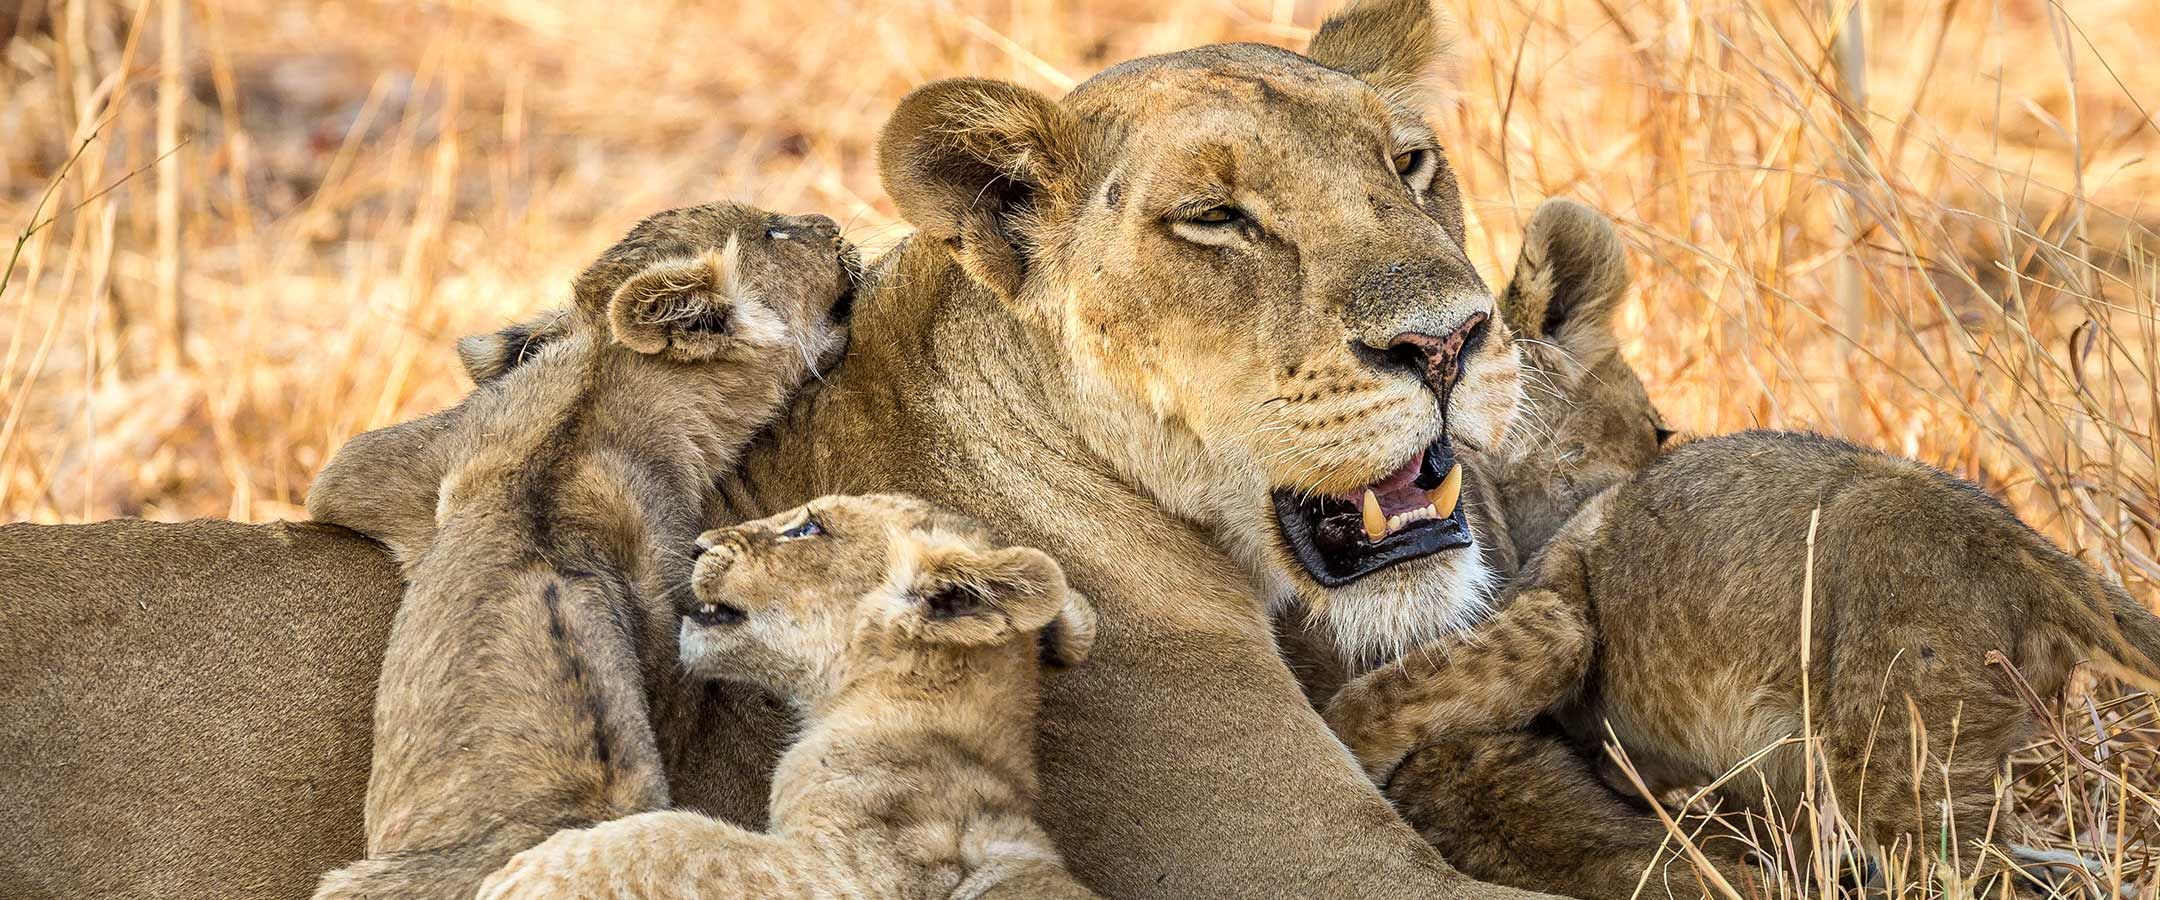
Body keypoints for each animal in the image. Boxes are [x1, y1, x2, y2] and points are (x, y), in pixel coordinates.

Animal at [1323, 200, 2160, 899]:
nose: (1658, 457)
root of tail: (2032, 554)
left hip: (1899, 759)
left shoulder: (1555, 618)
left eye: (1661, 433)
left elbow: (1384, 696)